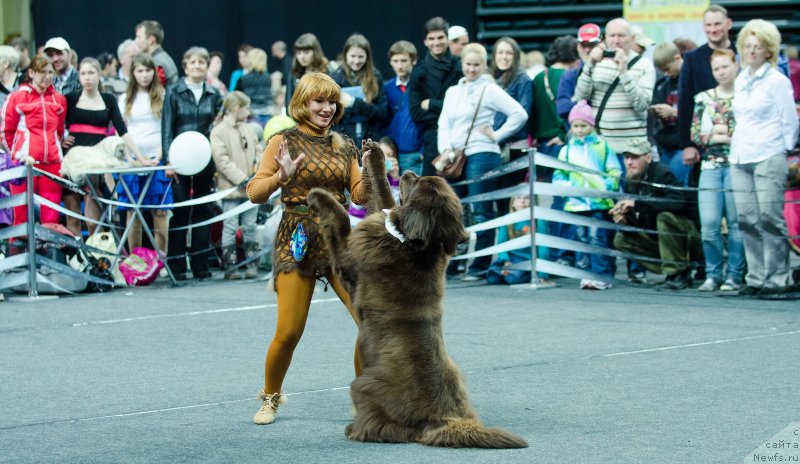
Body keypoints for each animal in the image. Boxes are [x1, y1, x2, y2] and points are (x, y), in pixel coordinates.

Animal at [310, 141, 528, 450]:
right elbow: (383, 197)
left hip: (364, 385)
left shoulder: (349, 265)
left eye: (417, 184)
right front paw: (376, 157)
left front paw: (320, 196)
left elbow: (340, 223)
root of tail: (442, 419)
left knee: (383, 428)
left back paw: (354, 428)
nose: (408, 171)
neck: (417, 245)